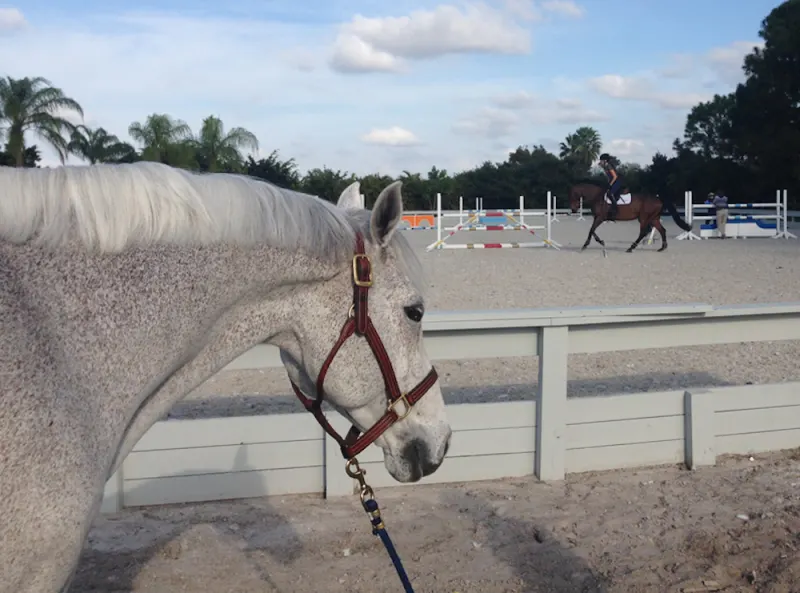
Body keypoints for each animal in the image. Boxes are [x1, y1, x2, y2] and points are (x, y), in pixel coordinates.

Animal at [564, 182, 692, 253]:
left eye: (571, 194)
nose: (573, 209)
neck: (597, 197)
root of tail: (658, 199)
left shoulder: (600, 218)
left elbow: (591, 230)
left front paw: (585, 245)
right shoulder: (598, 218)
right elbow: (592, 230)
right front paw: (600, 241)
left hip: (644, 218)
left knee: (643, 232)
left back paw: (631, 248)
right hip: (654, 218)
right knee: (662, 230)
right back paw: (662, 248)